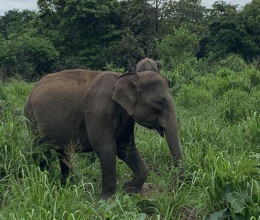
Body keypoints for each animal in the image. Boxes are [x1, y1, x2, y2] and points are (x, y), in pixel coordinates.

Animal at [24, 68, 183, 198]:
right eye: (161, 102)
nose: (174, 189)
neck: (126, 76)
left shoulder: (127, 117)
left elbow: (126, 148)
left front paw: (130, 190)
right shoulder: (97, 113)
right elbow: (107, 148)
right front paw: (108, 200)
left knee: (63, 152)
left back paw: (67, 187)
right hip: (32, 120)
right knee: (40, 149)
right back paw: (43, 180)